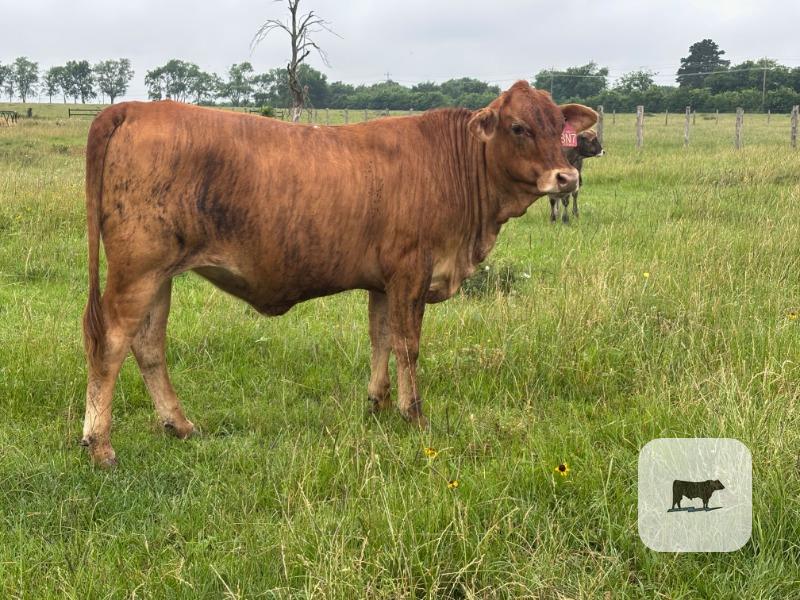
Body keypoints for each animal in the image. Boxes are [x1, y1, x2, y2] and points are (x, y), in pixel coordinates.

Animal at [80, 80, 597, 467]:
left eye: (560, 127)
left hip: (160, 275)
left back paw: (179, 425)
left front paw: (378, 404)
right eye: (518, 126)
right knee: (111, 343)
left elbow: (381, 338)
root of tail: (131, 108)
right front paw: (414, 414)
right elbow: (407, 345)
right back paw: (100, 445)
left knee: (149, 345)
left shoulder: (384, 282)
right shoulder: (411, 271)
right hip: (138, 271)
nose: (567, 179)